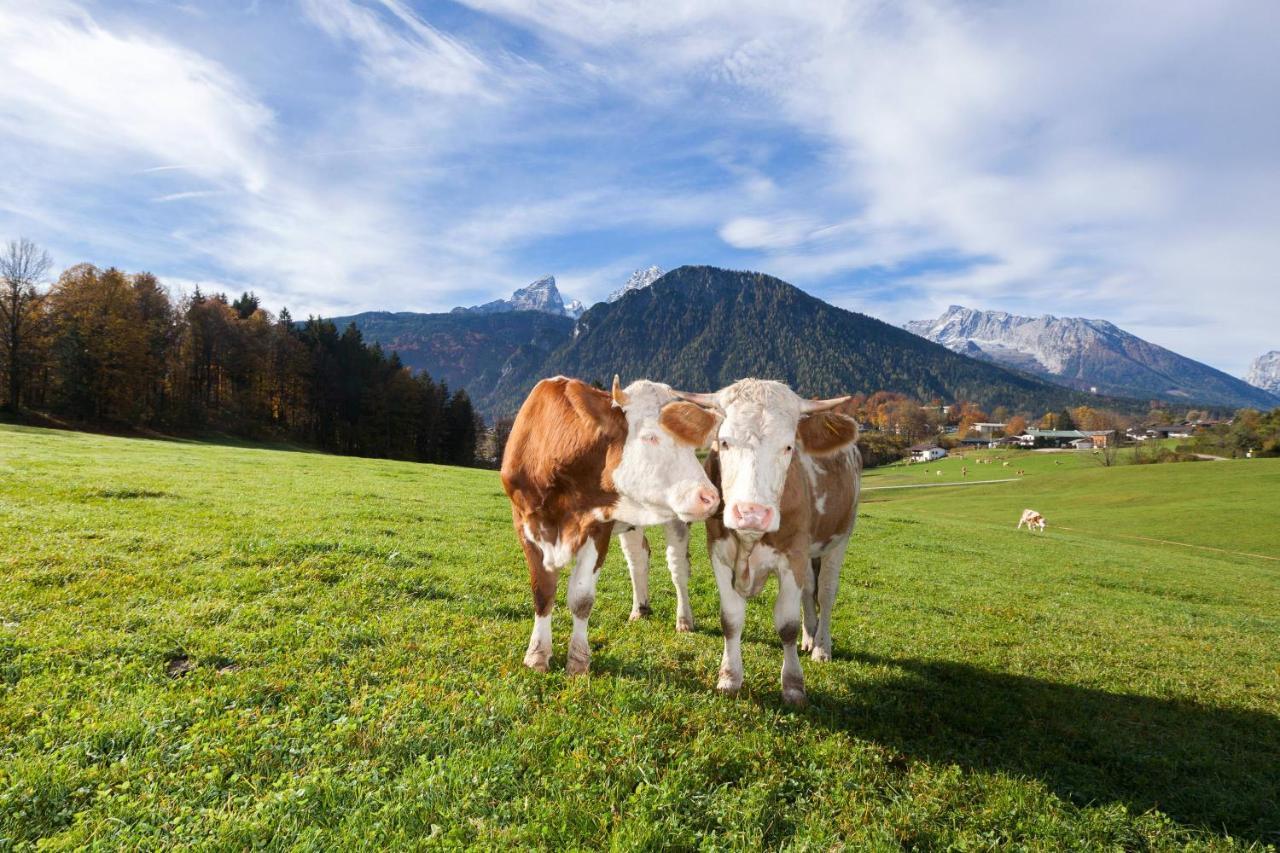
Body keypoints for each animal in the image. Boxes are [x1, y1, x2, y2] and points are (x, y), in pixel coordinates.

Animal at [499, 376, 721, 676]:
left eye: (690, 446)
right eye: (650, 436)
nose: (710, 497)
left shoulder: (598, 528)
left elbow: (581, 598)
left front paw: (578, 661)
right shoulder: (525, 525)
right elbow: (542, 592)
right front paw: (537, 655)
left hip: (677, 520)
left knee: (678, 569)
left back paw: (684, 619)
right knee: (638, 559)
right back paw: (640, 609)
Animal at [675, 379, 865, 701]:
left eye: (788, 447)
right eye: (724, 442)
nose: (751, 513)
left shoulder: (793, 557)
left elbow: (786, 625)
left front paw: (793, 685)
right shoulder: (719, 553)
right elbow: (731, 619)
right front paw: (729, 678)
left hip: (840, 539)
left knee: (826, 592)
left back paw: (821, 647)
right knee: (809, 590)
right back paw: (809, 638)